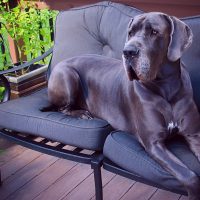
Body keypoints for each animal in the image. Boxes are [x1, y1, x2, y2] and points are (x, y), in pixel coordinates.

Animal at [42, 12, 200, 200]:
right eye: (130, 33)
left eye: (154, 32)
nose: (128, 52)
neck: (166, 87)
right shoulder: (153, 143)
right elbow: (188, 175)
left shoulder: (194, 135)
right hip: (68, 75)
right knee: (62, 108)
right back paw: (82, 113)